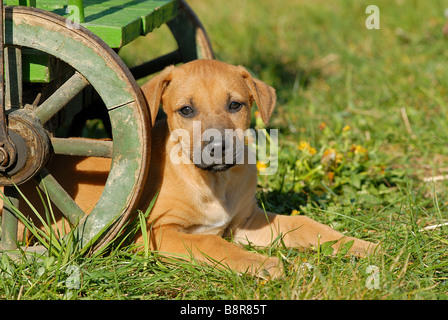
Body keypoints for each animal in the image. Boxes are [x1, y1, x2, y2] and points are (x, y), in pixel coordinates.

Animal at [136, 59, 378, 278]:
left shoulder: (248, 221)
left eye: (235, 105)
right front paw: (264, 263)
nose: (218, 146)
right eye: (186, 110)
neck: (216, 183)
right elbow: (210, 241)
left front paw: (360, 245)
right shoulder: (152, 233)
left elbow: (304, 224)